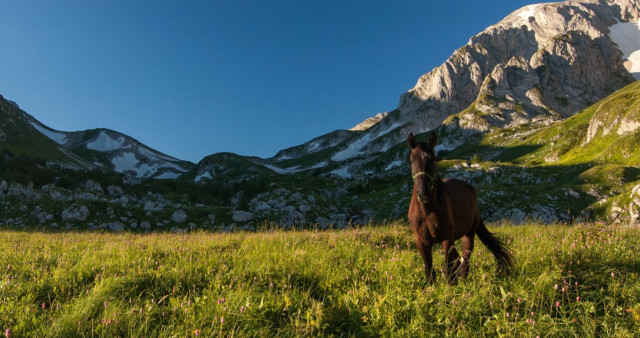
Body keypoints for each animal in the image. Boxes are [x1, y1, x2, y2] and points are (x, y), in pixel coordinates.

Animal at [408, 131, 512, 284]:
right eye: (412, 160)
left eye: (432, 159)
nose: (423, 194)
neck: (427, 211)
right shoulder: (421, 242)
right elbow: (429, 271)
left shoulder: (447, 240)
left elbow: (448, 269)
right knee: (458, 260)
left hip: (468, 235)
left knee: (465, 261)